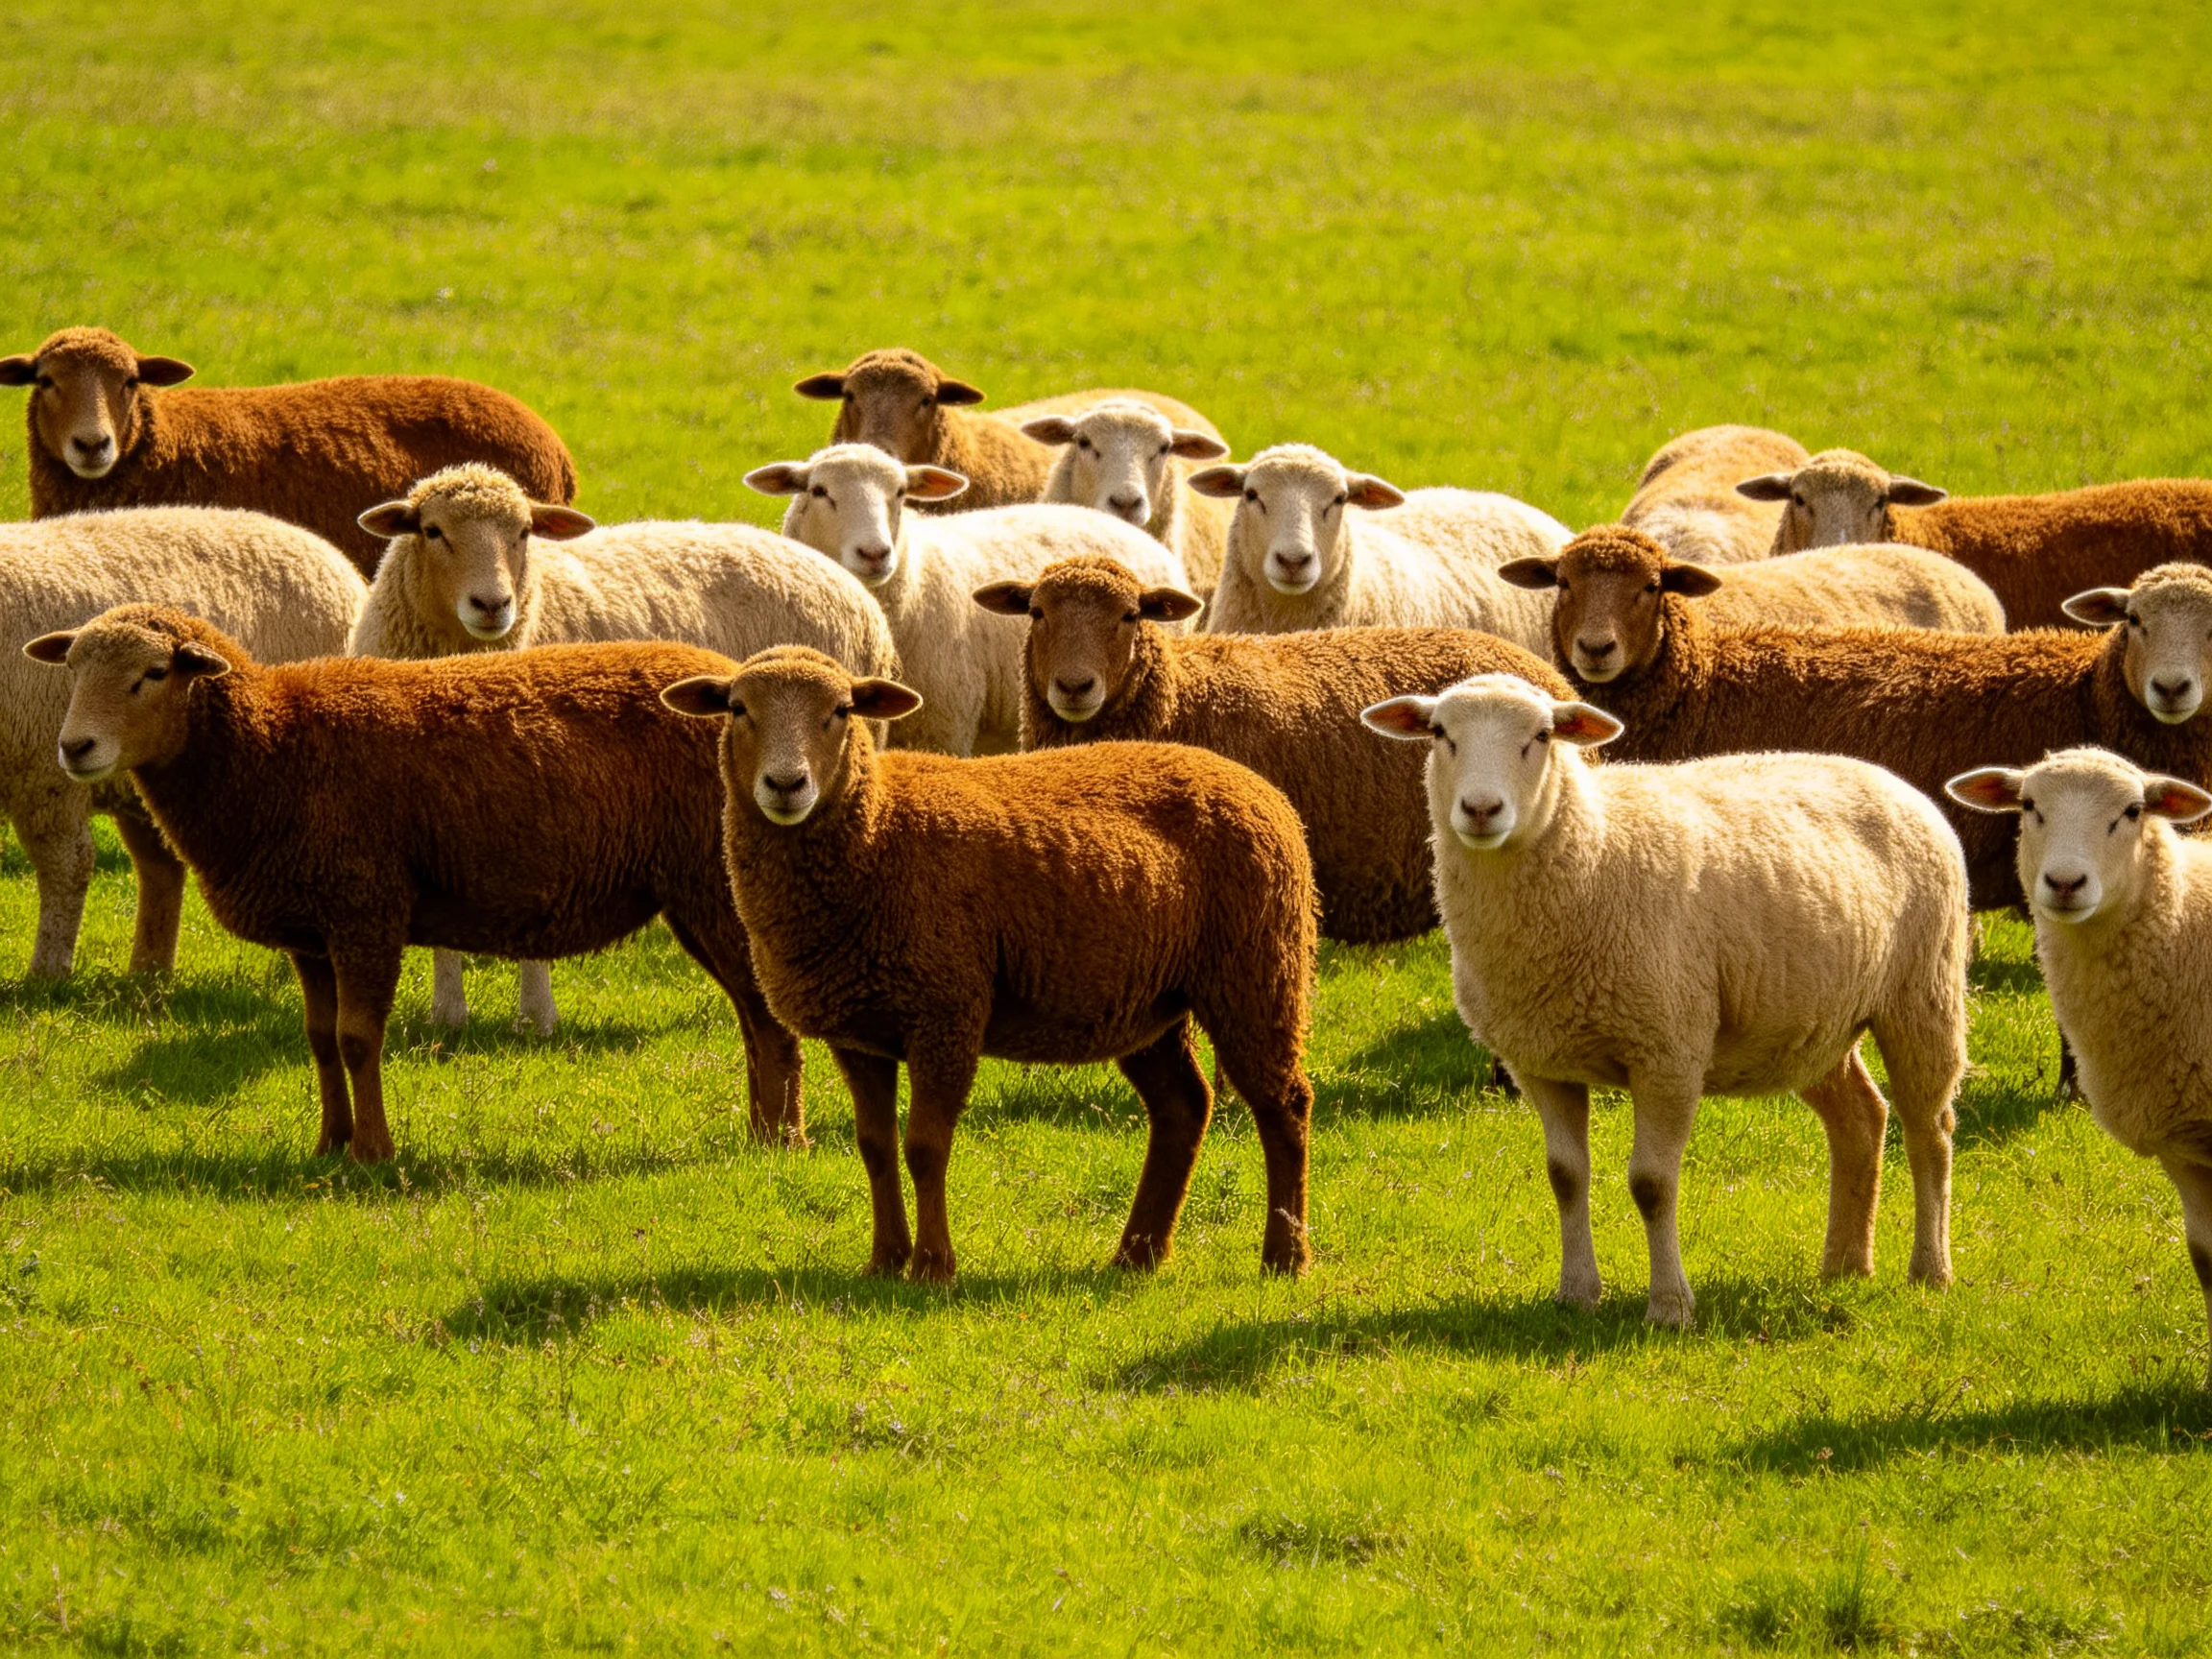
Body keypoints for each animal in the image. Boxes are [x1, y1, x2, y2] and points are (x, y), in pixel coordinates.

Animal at [1, 508, 367, 979]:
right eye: (72, 667)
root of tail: (332, 557)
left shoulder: (44, 778)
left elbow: (67, 866)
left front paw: (47, 976)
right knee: (160, 868)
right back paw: (148, 971)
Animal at [27, 607, 804, 1162]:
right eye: (73, 667)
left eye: (153, 672)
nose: (76, 748)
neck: (269, 748)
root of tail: (729, 687)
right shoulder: (313, 932)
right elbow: (319, 1038)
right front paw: (328, 1145)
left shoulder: (365, 908)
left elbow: (357, 1039)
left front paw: (373, 1154)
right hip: (697, 894)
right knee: (752, 1014)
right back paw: (762, 1133)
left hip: (715, 885)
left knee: (766, 1016)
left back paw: (783, 1139)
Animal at [352, 462, 902, 1036]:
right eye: (431, 531)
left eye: (523, 532)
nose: (492, 605)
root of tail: (830, 568)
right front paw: (448, 1016)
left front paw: (536, 1017)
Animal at [660, 645, 1318, 1281]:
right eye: (738, 709)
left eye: (841, 711)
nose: (786, 784)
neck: (879, 831)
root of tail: (1262, 790)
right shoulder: (860, 1033)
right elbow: (875, 1145)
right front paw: (885, 1259)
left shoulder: (946, 1011)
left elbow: (925, 1146)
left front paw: (932, 1267)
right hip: (1148, 1001)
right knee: (1183, 1107)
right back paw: (1138, 1254)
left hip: (1256, 971)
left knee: (1284, 1104)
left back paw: (1284, 1257)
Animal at [1363, 673, 1968, 1325]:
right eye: (1439, 733)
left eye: (1543, 736)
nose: (1480, 810)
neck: (1594, 851)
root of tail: (1891, 780)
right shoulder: (1541, 1062)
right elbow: (1565, 1177)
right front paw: (1577, 1294)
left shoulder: (1669, 1049)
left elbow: (1652, 1184)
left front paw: (1670, 1307)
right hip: (1810, 1024)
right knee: (1861, 1118)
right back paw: (1845, 1266)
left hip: (1923, 992)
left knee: (1930, 1130)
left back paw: (1931, 1270)